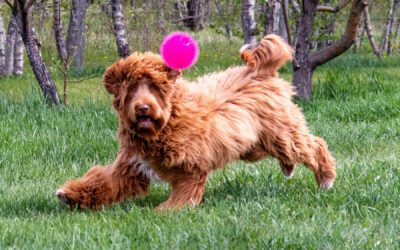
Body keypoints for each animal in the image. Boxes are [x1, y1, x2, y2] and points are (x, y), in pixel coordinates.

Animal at [56, 34, 336, 211]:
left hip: (282, 133)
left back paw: (326, 179)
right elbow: (104, 181)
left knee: (313, 145)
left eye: (155, 87)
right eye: (132, 88)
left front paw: (167, 211)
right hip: (256, 143)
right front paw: (70, 195)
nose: (143, 108)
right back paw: (289, 168)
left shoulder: (191, 166)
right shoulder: (132, 166)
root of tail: (260, 71)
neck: (166, 123)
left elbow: (185, 192)